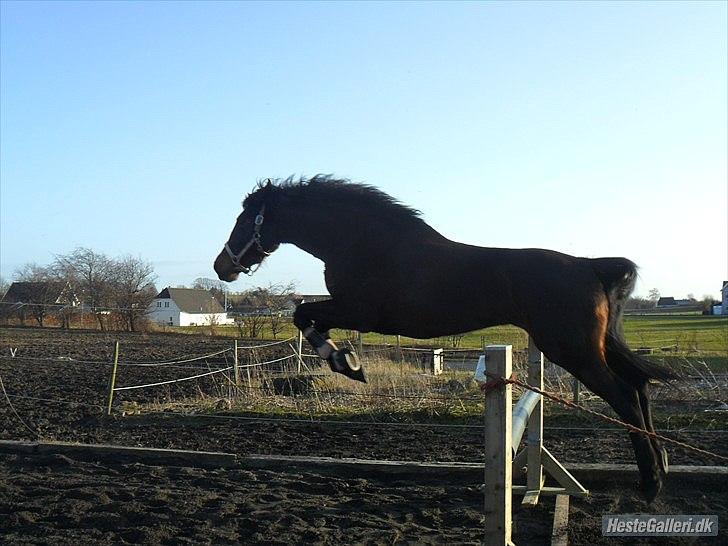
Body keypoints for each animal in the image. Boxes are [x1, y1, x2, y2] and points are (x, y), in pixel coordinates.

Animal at [215, 175, 676, 502]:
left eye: (244, 220)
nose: (222, 266)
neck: (360, 241)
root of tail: (590, 266)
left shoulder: (358, 310)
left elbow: (303, 315)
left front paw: (345, 362)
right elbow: (306, 317)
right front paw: (346, 360)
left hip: (573, 350)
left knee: (625, 395)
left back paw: (651, 483)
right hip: (593, 347)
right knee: (639, 386)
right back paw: (664, 466)